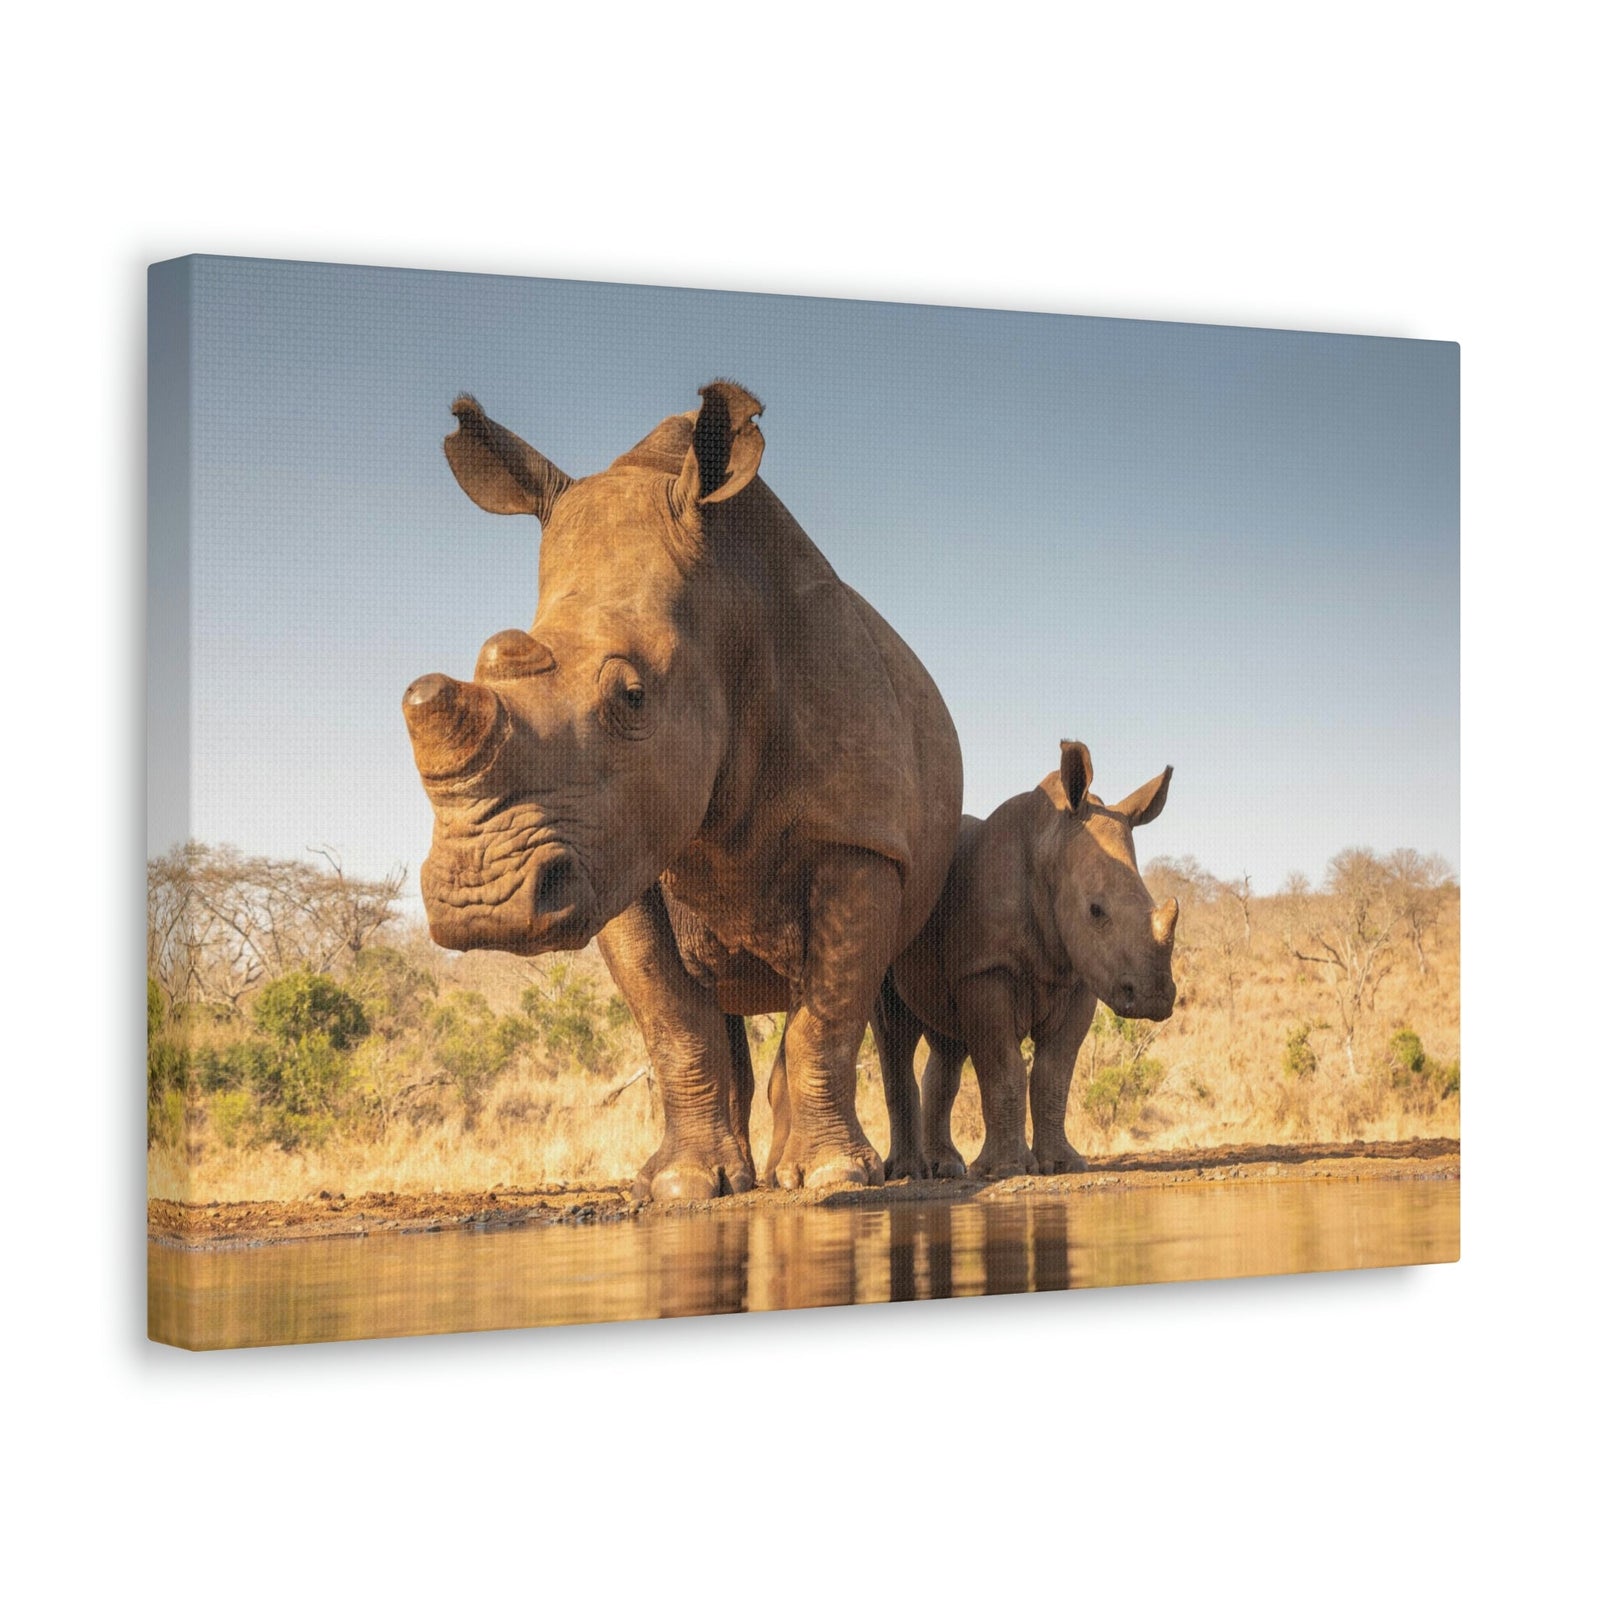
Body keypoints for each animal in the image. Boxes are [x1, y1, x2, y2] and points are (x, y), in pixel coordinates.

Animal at [403, 382, 963, 1199]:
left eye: (632, 697)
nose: (482, 904)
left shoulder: (859, 838)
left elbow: (828, 1014)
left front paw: (831, 1177)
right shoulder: (616, 852)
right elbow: (671, 1018)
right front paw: (683, 1186)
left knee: (882, 1006)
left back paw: (884, 1173)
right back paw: (750, 1175)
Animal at [872, 740, 1177, 1178]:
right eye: (1095, 911)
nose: (1155, 998)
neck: (1047, 845)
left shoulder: (1080, 976)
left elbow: (1054, 1073)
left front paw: (1063, 1164)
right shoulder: (986, 969)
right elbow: (1004, 1068)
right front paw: (1006, 1170)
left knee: (947, 1044)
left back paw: (947, 1168)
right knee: (893, 1031)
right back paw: (908, 1173)